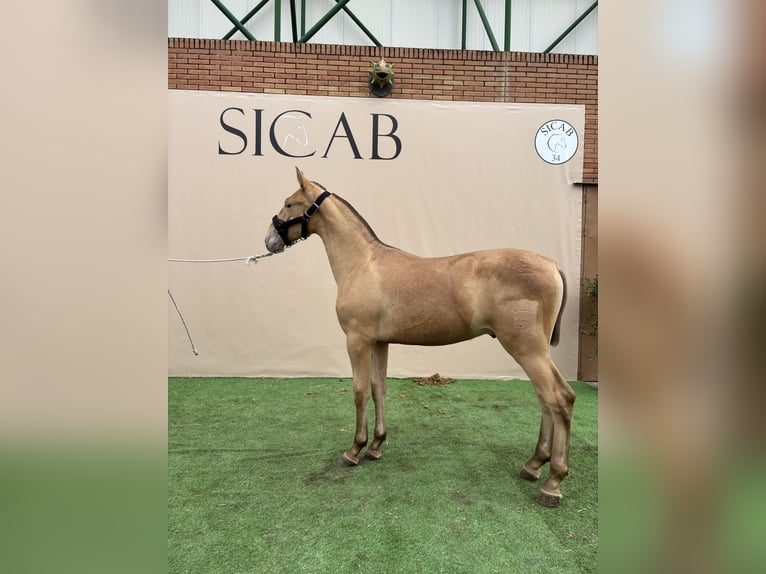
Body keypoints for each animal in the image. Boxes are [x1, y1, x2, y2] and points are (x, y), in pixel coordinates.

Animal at [268, 168, 572, 508]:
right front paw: (376, 446)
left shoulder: (357, 340)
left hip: (526, 349)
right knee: (549, 399)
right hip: (535, 351)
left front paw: (354, 450)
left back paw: (552, 482)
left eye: (289, 203)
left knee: (558, 399)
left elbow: (359, 391)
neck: (362, 263)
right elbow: (378, 388)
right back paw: (534, 464)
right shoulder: (379, 342)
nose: (268, 239)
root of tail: (553, 266)